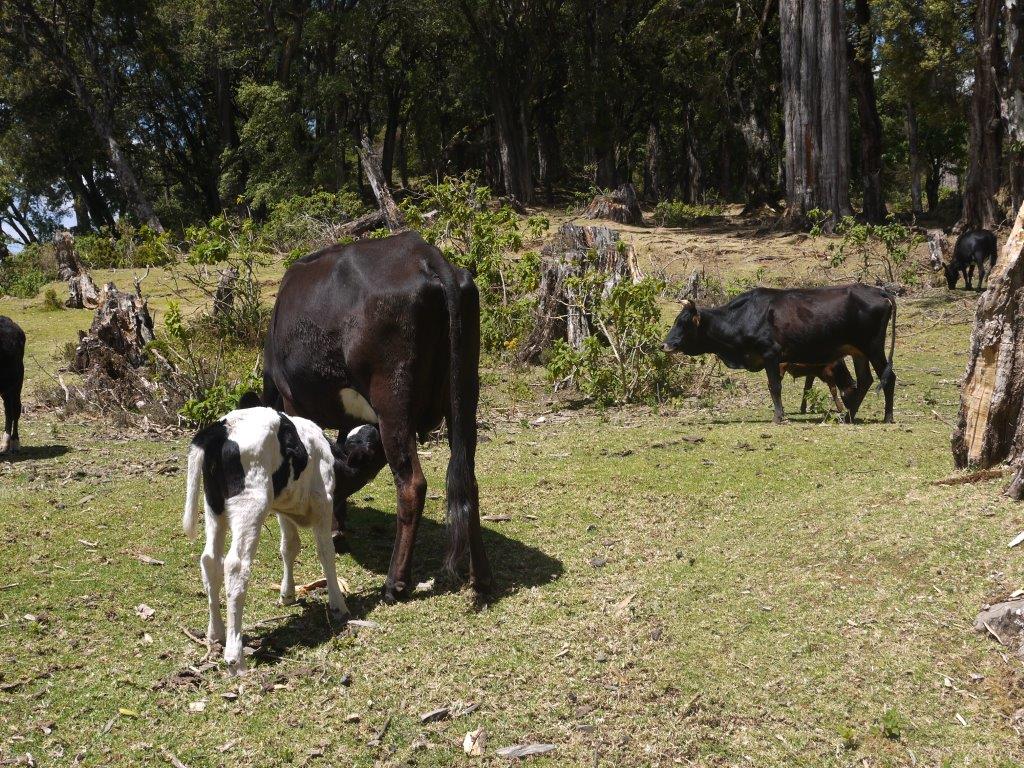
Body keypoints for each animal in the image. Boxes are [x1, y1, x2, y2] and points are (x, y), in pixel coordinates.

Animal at [185, 409, 380, 671]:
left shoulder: (284, 509)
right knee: (235, 566)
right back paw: (235, 656)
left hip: (214, 505)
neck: (332, 459)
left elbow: (289, 547)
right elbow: (325, 552)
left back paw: (215, 632)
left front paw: (287, 594)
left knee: (210, 560)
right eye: (377, 444)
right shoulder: (323, 503)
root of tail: (223, 426)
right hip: (251, 504)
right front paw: (338, 603)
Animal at [260, 231, 491, 606]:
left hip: (392, 402)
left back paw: (395, 583)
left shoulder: (294, 401)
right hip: (465, 394)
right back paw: (482, 577)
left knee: (412, 484)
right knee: (466, 478)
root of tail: (425, 255)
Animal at [663, 286, 897, 423]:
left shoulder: (771, 354)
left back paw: (887, 417)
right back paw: (848, 417)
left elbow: (774, 386)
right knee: (865, 380)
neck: (744, 316)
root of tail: (879, 291)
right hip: (859, 352)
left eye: (684, 323)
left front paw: (778, 417)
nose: (664, 345)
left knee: (888, 377)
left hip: (873, 347)